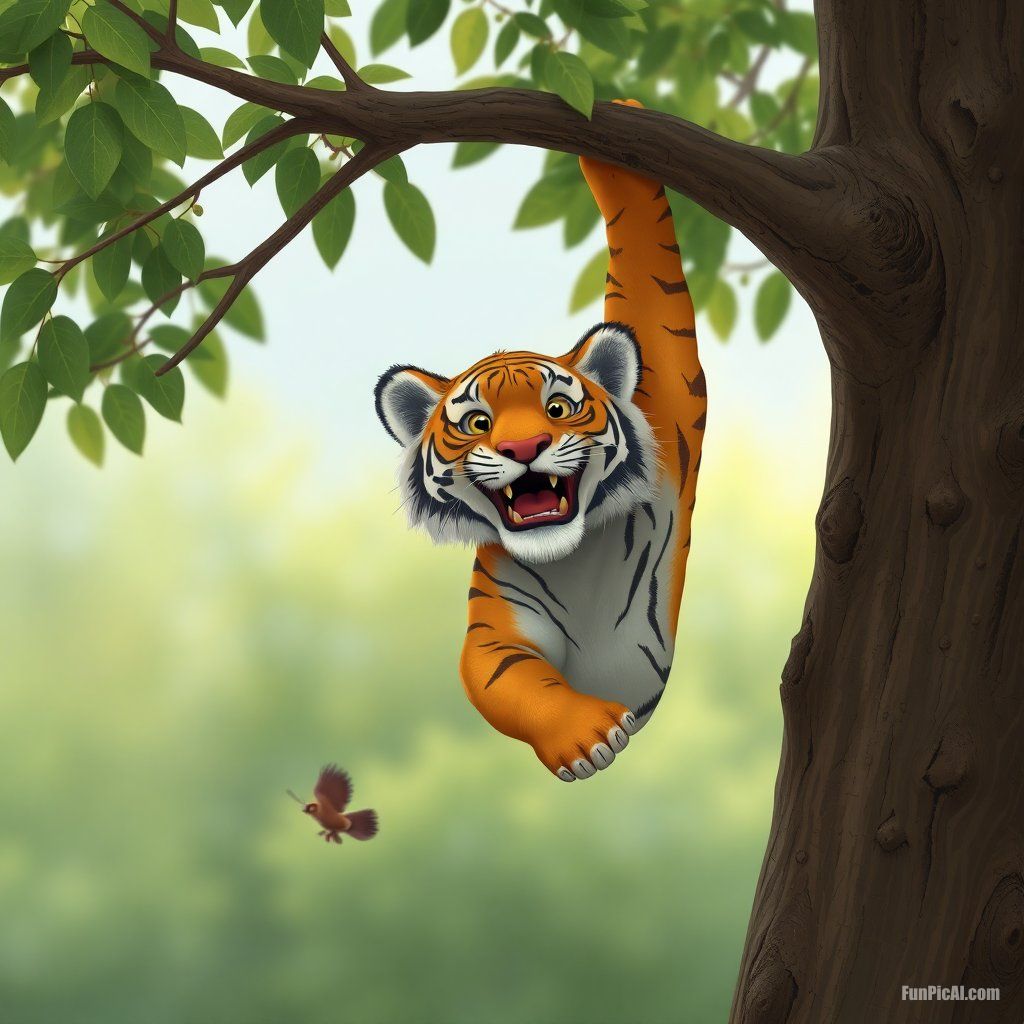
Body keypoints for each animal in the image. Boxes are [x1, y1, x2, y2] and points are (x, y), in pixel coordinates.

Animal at [375, 107, 706, 783]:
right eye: (478, 423)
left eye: (556, 409)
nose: (524, 446)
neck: (573, 559)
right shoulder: (496, 626)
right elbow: (509, 678)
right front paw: (589, 736)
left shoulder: (670, 396)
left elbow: (651, 279)